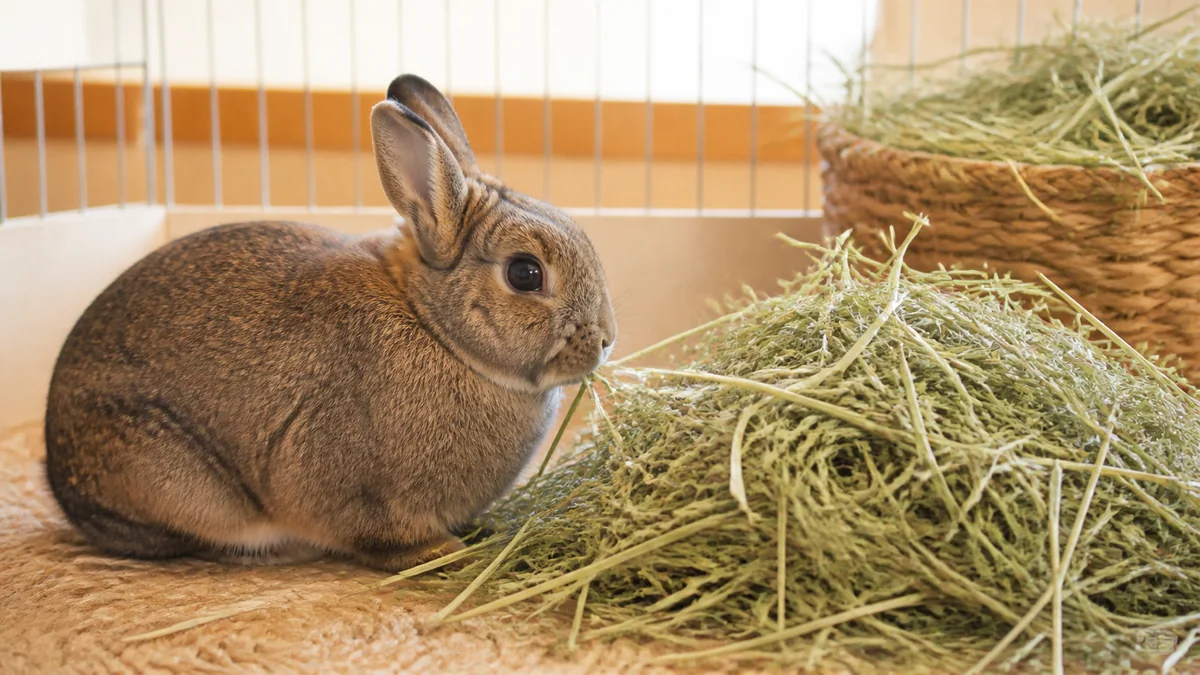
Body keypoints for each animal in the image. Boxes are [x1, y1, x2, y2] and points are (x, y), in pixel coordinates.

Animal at [42, 73, 617, 573]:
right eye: (525, 273)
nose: (606, 340)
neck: (433, 325)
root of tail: (57, 469)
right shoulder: (369, 496)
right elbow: (387, 539)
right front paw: (446, 553)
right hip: (170, 477)